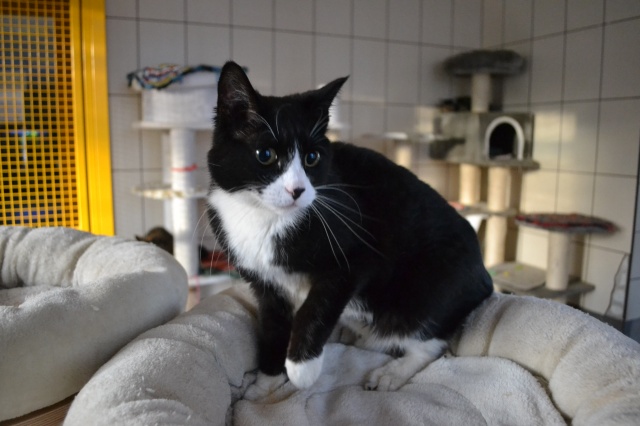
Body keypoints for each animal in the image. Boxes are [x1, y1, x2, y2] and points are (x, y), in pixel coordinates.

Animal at [206, 61, 493, 394]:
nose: (297, 190)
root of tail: (484, 276)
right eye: (265, 155)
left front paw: (301, 368)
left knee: (427, 340)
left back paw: (392, 372)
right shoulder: (263, 281)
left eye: (312, 158)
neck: (266, 218)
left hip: (426, 291)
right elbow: (272, 324)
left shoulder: (357, 253)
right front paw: (267, 381)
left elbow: (318, 305)